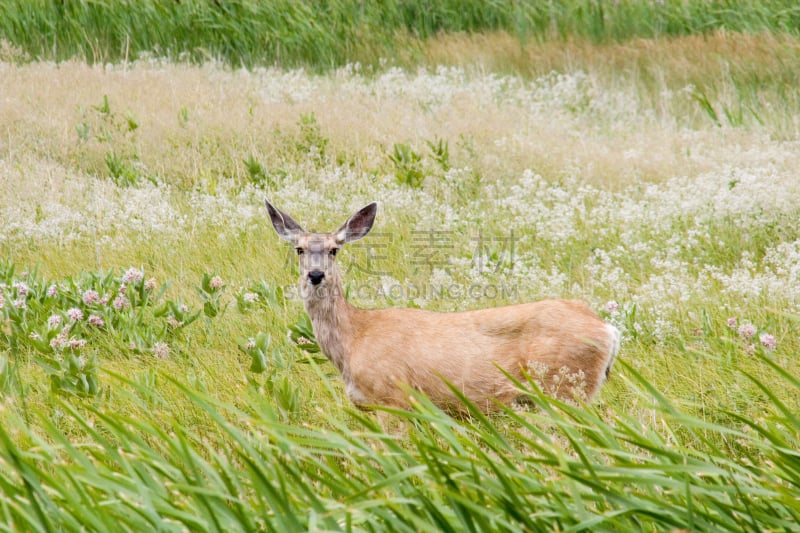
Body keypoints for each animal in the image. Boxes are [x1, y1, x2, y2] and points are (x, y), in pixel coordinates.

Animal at [266, 200, 620, 412]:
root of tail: (607, 329)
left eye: (334, 249)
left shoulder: (393, 397)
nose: (315, 275)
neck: (355, 337)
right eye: (299, 249)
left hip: (566, 388)